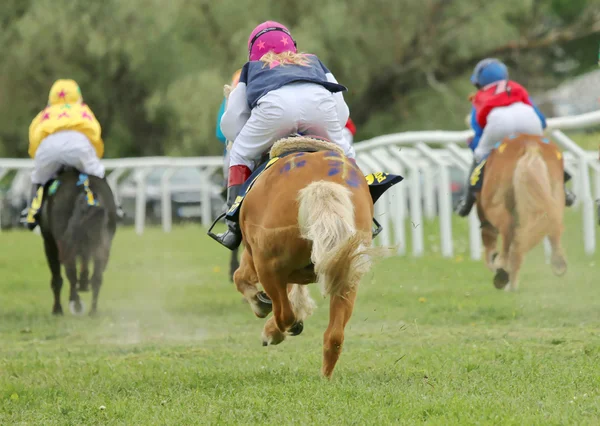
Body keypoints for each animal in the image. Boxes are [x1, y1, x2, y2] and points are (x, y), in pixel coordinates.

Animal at [38, 168, 117, 314]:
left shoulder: (50, 243)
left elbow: (57, 277)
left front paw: (57, 309)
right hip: (102, 244)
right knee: (97, 277)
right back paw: (92, 311)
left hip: (61, 243)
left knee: (71, 274)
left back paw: (76, 305)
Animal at [219, 135, 398, 378]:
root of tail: (321, 186)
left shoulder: (255, 258)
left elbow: (241, 278)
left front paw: (260, 303)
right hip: (348, 270)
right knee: (334, 335)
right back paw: (325, 375)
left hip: (268, 266)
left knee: (284, 314)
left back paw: (279, 328)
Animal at [474, 135, 568, 292]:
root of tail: (530, 144)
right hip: (555, 195)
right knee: (553, 225)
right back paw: (558, 263)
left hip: (496, 204)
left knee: (508, 231)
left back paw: (502, 271)